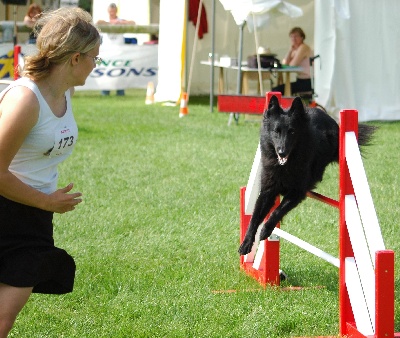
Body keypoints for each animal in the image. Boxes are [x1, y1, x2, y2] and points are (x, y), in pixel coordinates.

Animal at [239, 94, 376, 254]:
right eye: (276, 131)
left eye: (292, 131)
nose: (282, 152)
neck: (286, 166)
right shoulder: (268, 191)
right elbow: (254, 217)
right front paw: (247, 242)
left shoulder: (297, 192)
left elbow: (277, 211)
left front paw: (266, 230)